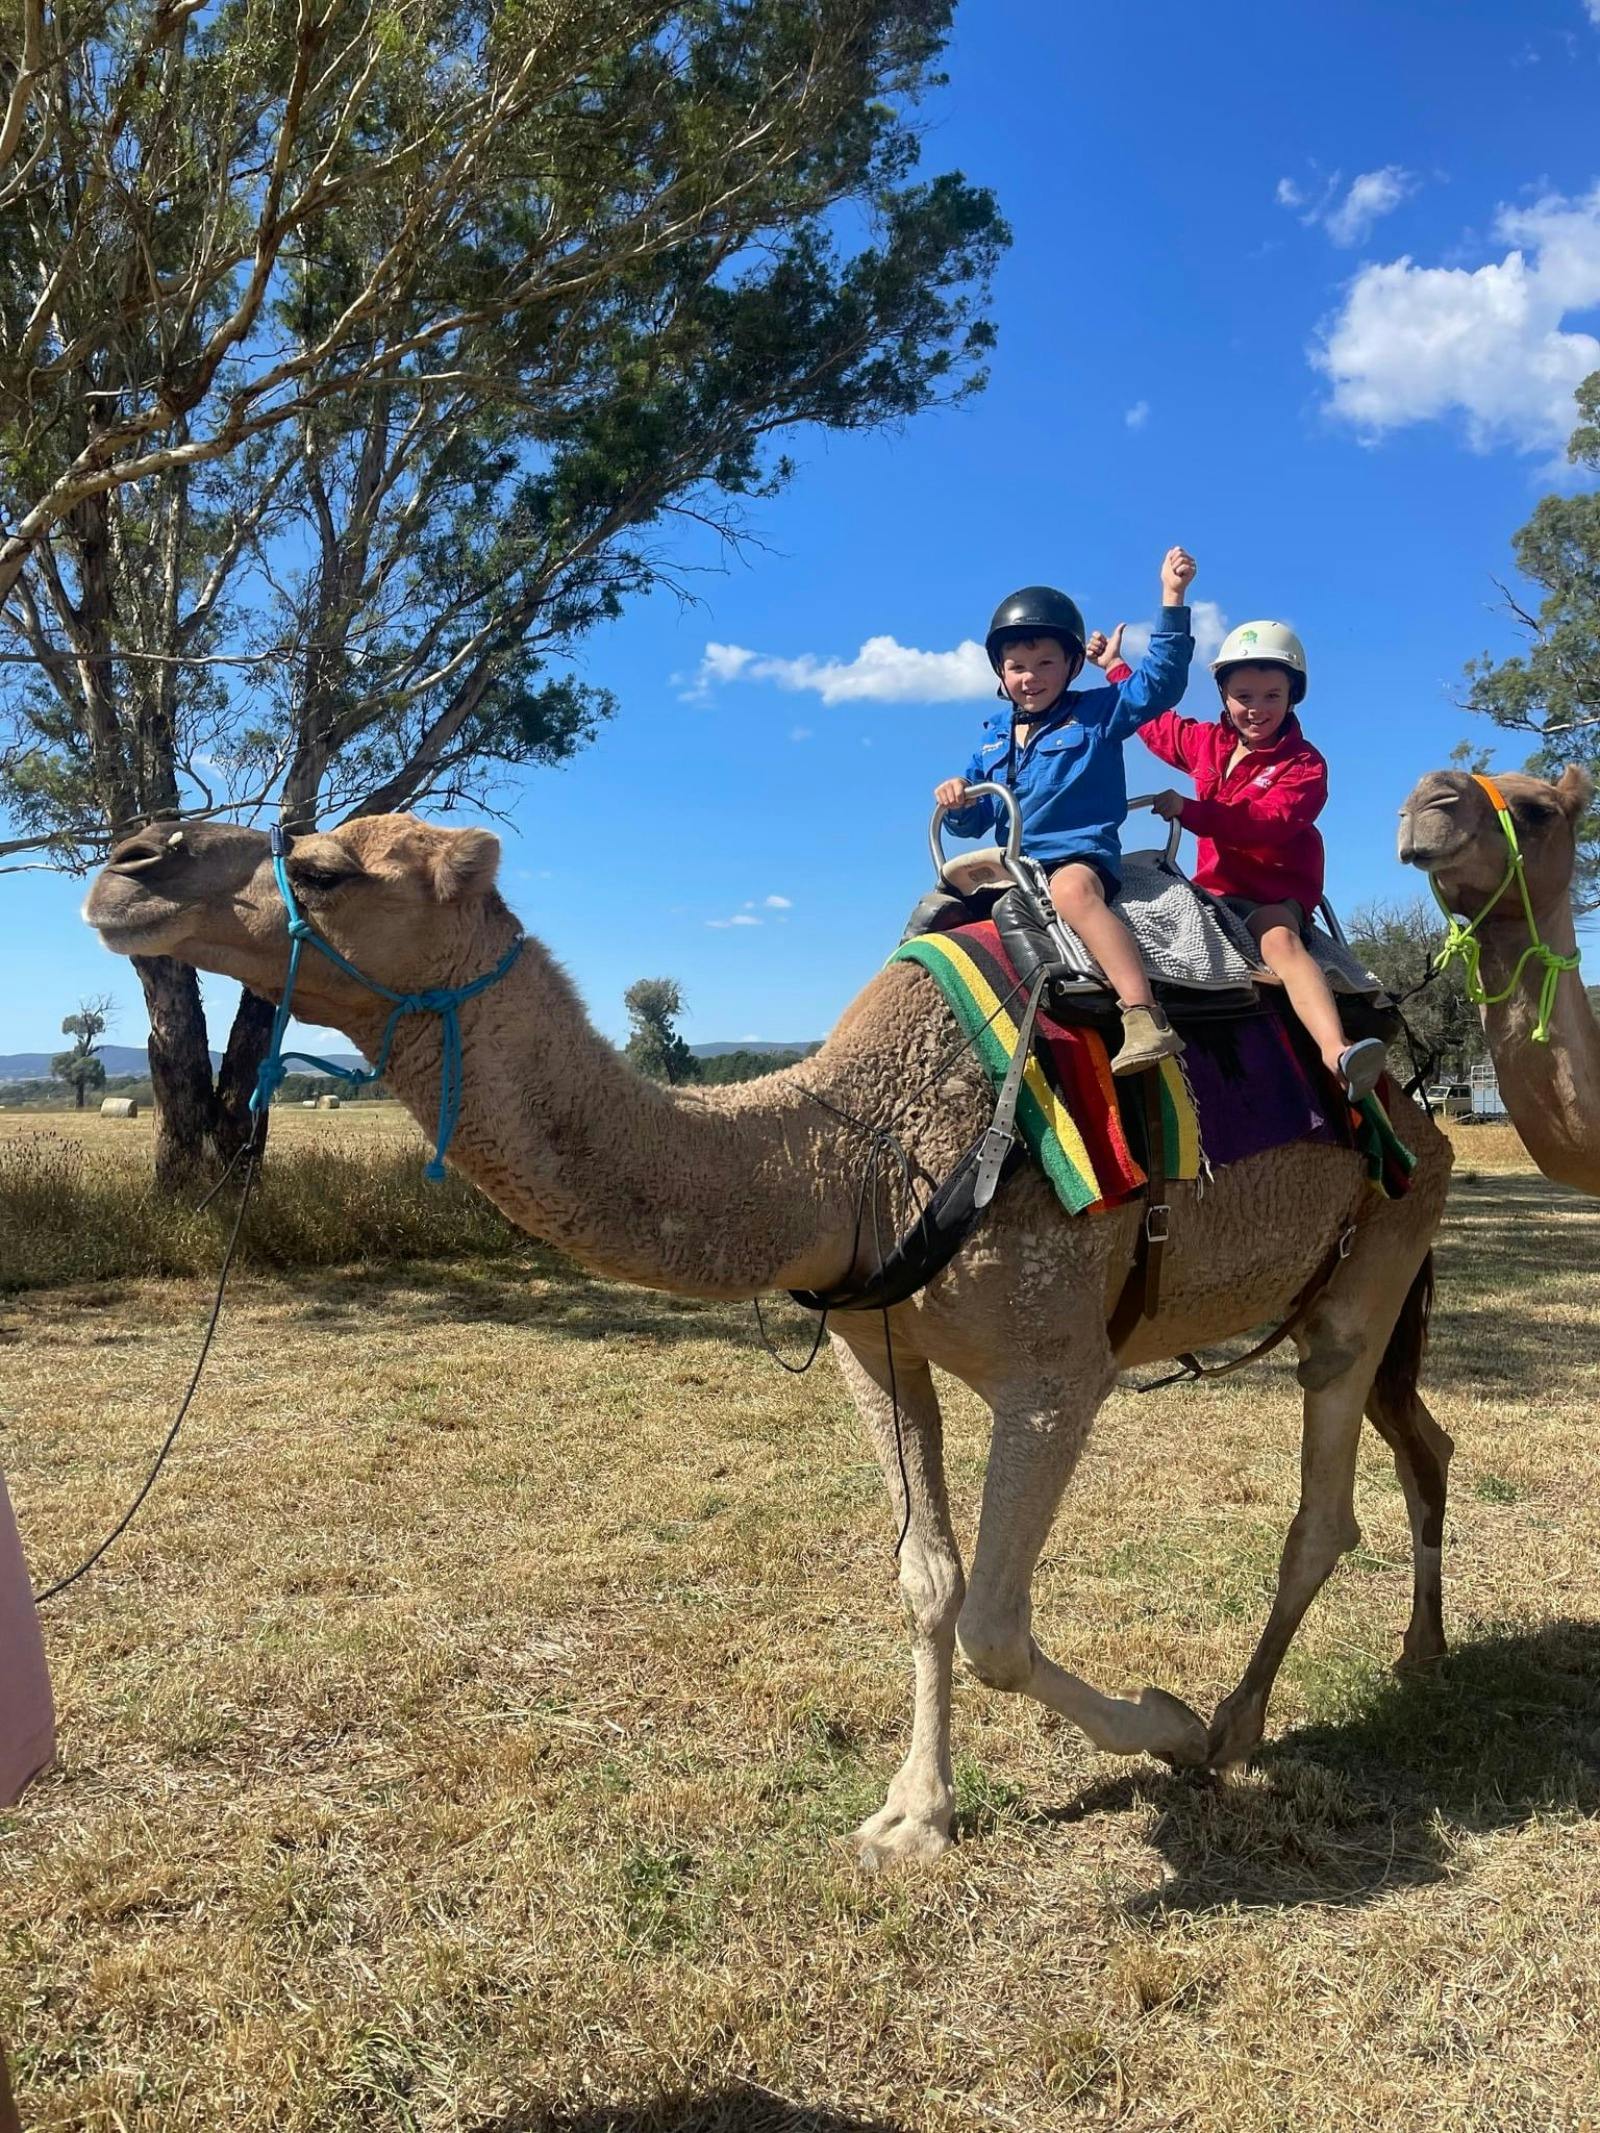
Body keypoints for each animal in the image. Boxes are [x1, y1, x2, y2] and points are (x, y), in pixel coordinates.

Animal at [86, 814, 1454, 1867]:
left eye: (321, 868)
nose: (130, 864)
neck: (843, 1162)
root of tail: (1413, 1088)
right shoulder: (874, 1349)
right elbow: (928, 1585)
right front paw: (913, 1818)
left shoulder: (1055, 1369)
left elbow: (996, 1626)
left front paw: (1164, 1726)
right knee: (1419, 1441)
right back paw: (1417, 1655)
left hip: (1379, 1249)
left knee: (1322, 1505)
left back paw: (1234, 1727)